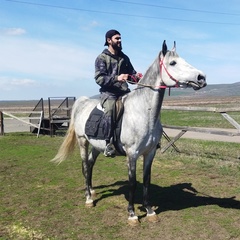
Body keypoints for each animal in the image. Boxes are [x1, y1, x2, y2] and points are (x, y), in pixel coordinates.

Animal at [51, 40, 205, 226]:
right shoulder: (132, 154)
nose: (201, 77)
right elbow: (132, 183)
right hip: (83, 141)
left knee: (90, 164)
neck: (143, 112)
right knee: (85, 166)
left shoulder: (150, 153)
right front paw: (132, 214)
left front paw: (150, 211)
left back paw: (92, 191)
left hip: (96, 146)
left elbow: (146, 180)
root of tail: (83, 102)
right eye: (173, 63)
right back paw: (88, 199)